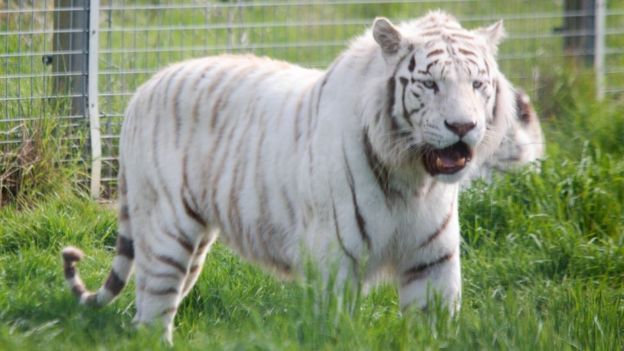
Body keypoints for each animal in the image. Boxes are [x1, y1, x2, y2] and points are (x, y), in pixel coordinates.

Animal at [61, 11, 516, 344]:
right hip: (165, 231)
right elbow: (335, 329)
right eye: (430, 84)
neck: (411, 175)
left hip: (194, 244)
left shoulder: (432, 260)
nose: (463, 126)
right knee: (152, 313)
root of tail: (143, 89)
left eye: (478, 83)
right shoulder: (336, 260)